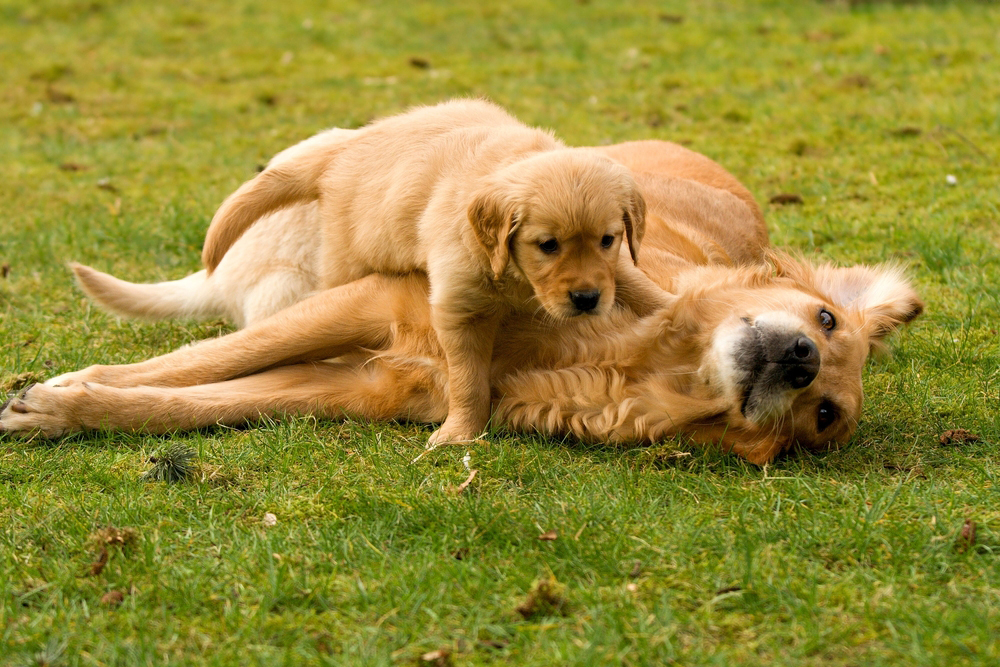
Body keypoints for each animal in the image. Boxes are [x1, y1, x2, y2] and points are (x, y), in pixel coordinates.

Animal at [0, 141, 920, 464]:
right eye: (825, 319)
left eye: (824, 416)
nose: (799, 359)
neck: (609, 352)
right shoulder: (372, 301)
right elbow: (197, 363)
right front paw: (63, 389)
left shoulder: (362, 384)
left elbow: (197, 403)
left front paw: (66, 408)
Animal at [196, 99, 668, 446]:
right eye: (547, 245)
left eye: (607, 239)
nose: (587, 301)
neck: (515, 274)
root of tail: (344, 147)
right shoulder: (458, 306)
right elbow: (468, 379)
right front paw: (459, 433)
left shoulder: (613, 269)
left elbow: (638, 286)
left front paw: (672, 307)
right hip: (348, 254)